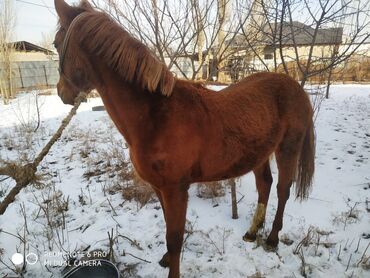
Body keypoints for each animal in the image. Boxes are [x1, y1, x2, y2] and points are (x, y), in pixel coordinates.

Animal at [54, 1, 316, 276]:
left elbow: (175, 237)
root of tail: (297, 88)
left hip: (288, 148)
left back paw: (273, 239)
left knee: (282, 189)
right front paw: (166, 259)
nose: (61, 93)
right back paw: (252, 233)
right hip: (259, 153)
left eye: (56, 43)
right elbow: (168, 227)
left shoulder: (176, 189)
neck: (155, 116)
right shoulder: (159, 187)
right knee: (264, 184)